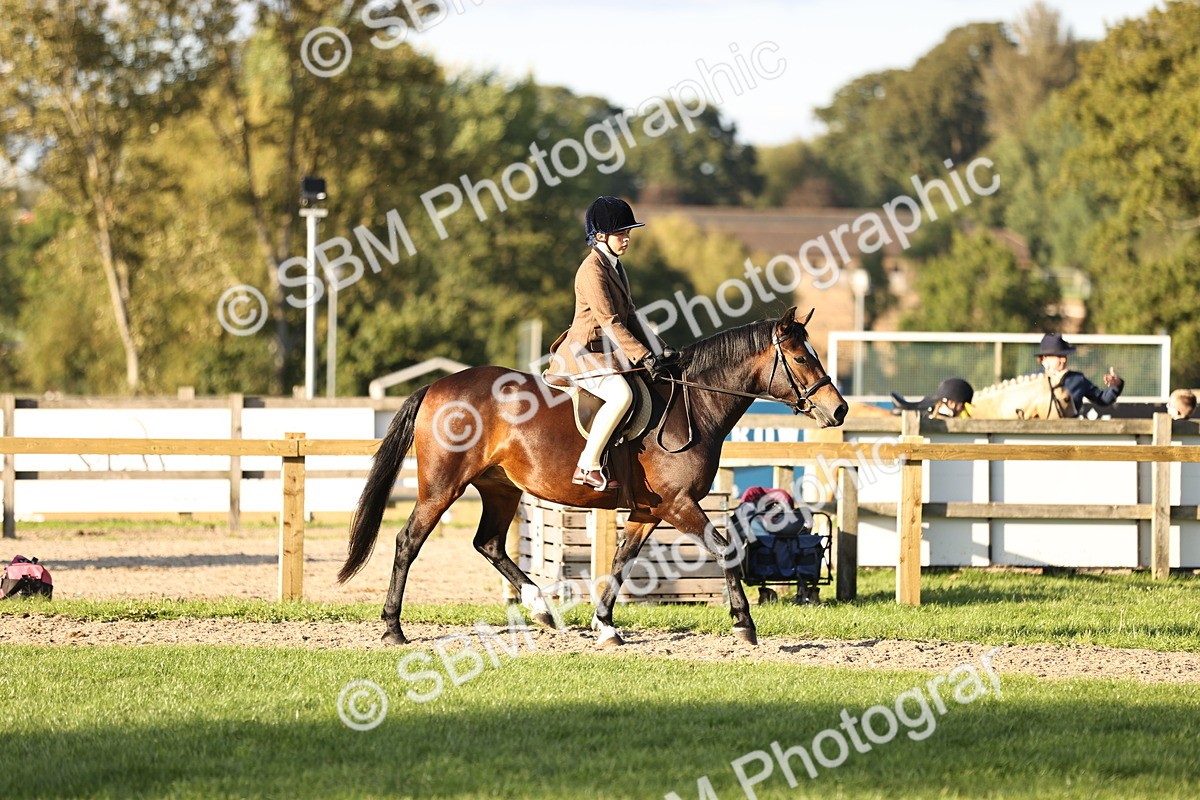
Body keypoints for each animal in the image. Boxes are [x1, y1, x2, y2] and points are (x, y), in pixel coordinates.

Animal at [338, 307, 848, 647]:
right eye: (801, 359)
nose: (839, 409)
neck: (694, 403)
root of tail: (436, 387)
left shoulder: (650, 511)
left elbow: (622, 561)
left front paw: (604, 625)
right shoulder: (679, 504)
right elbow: (727, 550)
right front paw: (744, 624)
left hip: (500, 488)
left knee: (489, 544)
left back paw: (540, 609)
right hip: (443, 487)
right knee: (408, 542)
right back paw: (393, 628)